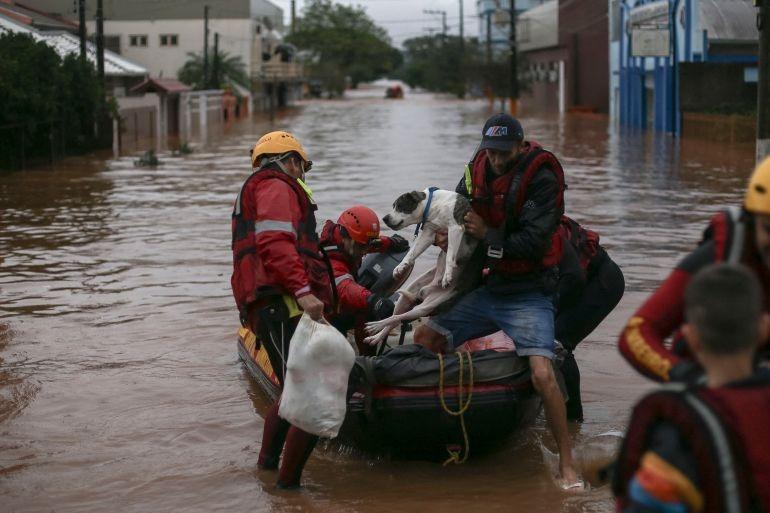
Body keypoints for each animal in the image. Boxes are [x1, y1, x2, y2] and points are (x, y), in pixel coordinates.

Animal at [362, 186, 480, 346]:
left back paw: (375, 326)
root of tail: (427, 290)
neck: (434, 206)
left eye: (400, 206)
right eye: (394, 206)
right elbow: (412, 252)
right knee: (394, 319)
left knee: (397, 318)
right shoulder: (428, 234)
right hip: (406, 298)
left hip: (426, 307)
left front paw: (447, 275)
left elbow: (450, 254)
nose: (385, 218)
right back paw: (376, 335)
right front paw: (401, 266)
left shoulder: (455, 228)